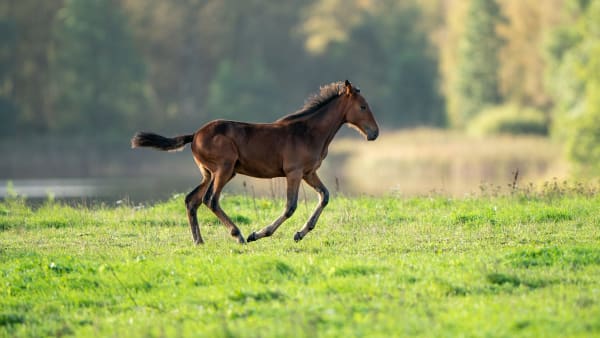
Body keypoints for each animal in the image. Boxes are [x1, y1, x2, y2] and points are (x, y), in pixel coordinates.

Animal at [132, 80, 380, 244]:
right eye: (363, 106)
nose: (374, 133)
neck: (308, 132)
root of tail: (194, 135)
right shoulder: (294, 172)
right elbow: (290, 206)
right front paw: (259, 234)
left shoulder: (309, 172)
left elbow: (325, 196)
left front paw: (300, 233)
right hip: (224, 169)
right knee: (210, 199)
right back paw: (239, 235)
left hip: (210, 173)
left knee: (191, 200)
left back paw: (199, 241)